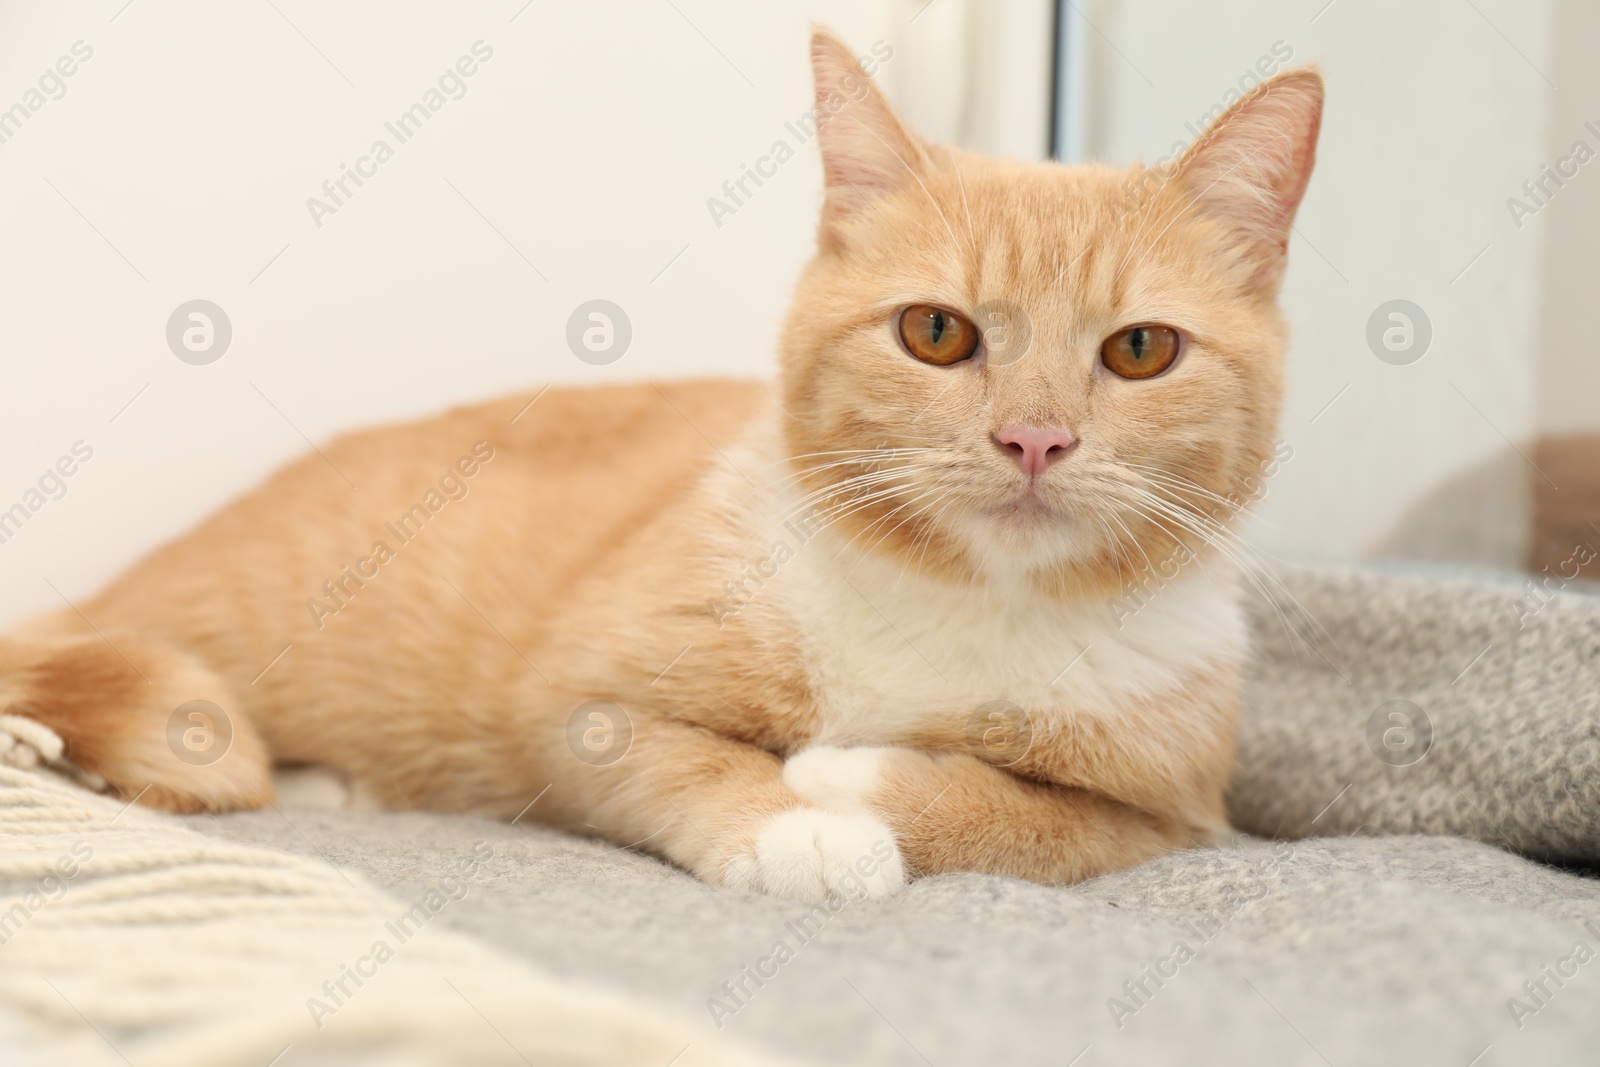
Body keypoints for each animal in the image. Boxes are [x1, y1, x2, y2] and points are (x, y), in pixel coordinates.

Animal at [0, 31, 1318, 902]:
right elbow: (689, 754)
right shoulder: (575, 704)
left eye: (1139, 349)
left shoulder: (1174, 818)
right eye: (937, 332)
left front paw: (858, 780)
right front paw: (795, 825)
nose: (1032, 438)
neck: (963, 607)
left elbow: (1028, 818)